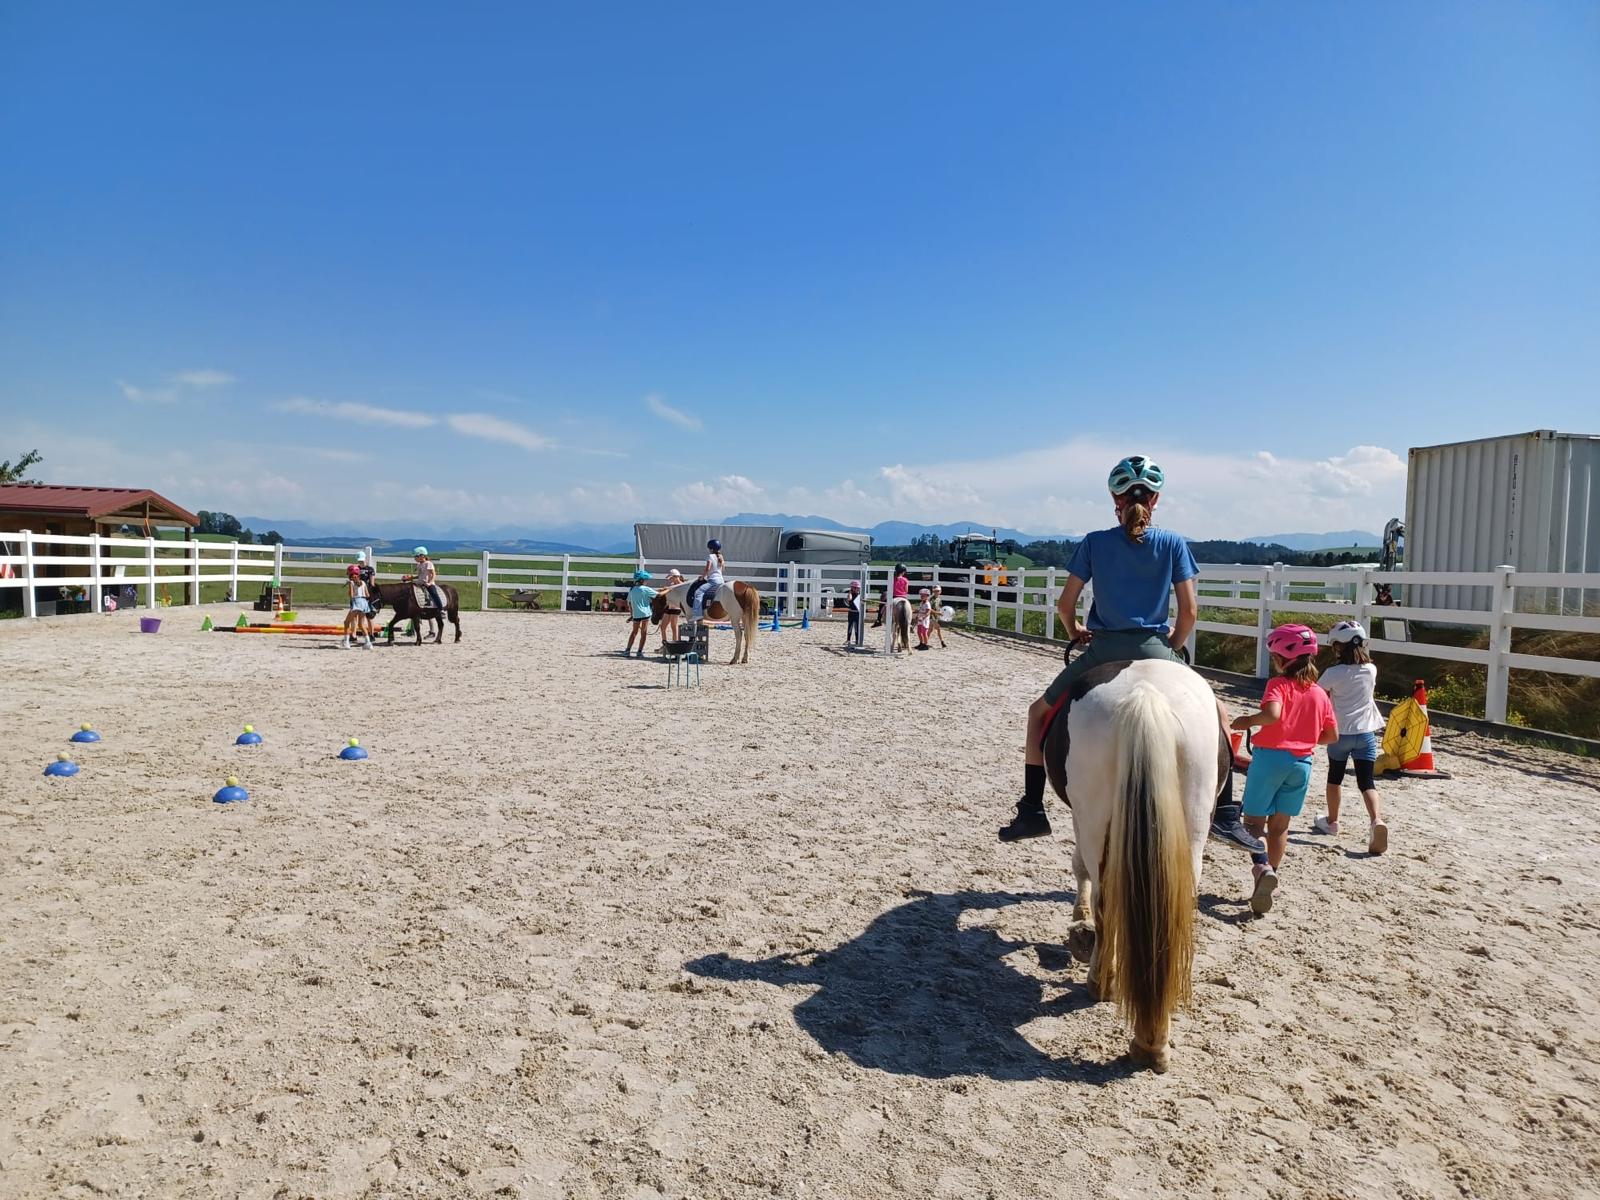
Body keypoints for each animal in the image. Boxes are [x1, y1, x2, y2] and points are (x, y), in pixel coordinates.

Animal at [1040, 658, 1226, 1072]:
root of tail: (1146, 696)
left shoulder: (1080, 820)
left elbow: (1079, 868)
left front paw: (1080, 925)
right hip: (1191, 829)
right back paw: (1154, 1041)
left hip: (1095, 819)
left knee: (1106, 900)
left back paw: (1101, 982)